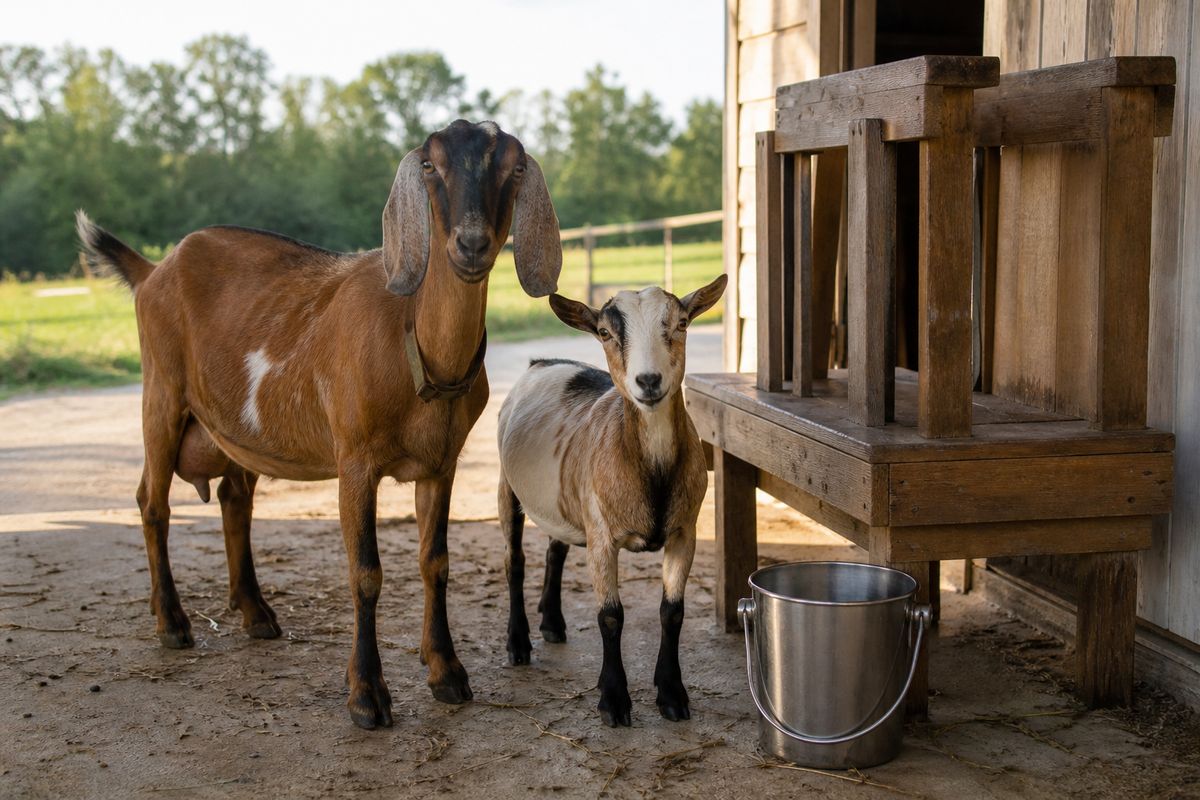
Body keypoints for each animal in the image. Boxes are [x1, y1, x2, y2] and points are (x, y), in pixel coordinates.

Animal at [76, 120, 562, 730]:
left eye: (515, 167)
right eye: (430, 165)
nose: (471, 245)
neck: (413, 341)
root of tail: (153, 270)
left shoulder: (441, 464)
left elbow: (436, 562)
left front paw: (447, 672)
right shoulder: (355, 460)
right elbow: (366, 573)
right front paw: (367, 696)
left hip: (233, 430)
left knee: (235, 499)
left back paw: (257, 614)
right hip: (161, 393)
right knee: (152, 501)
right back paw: (173, 623)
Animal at [496, 276, 727, 727]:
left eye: (682, 323)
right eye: (604, 333)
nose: (649, 381)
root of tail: (541, 361)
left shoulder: (684, 530)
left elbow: (672, 611)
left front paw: (672, 695)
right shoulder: (602, 536)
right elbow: (610, 616)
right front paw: (614, 701)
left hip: (565, 499)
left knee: (555, 550)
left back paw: (552, 623)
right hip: (507, 485)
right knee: (515, 560)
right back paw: (519, 644)